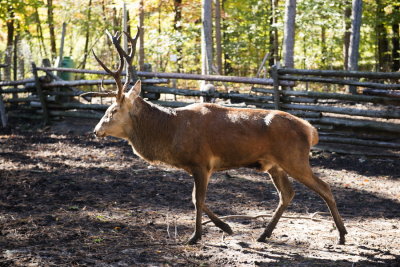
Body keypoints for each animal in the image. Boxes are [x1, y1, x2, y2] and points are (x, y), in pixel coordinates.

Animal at [90, 30, 346, 246]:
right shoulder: (201, 166)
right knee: (287, 194)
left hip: (294, 158)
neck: (169, 134)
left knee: (324, 187)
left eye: (113, 110)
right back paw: (264, 234)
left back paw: (342, 235)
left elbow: (197, 200)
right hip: (274, 165)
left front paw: (197, 236)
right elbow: (197, 199)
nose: (96, 130)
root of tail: (311, 131)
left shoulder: (201, 162)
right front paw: (227, 228)